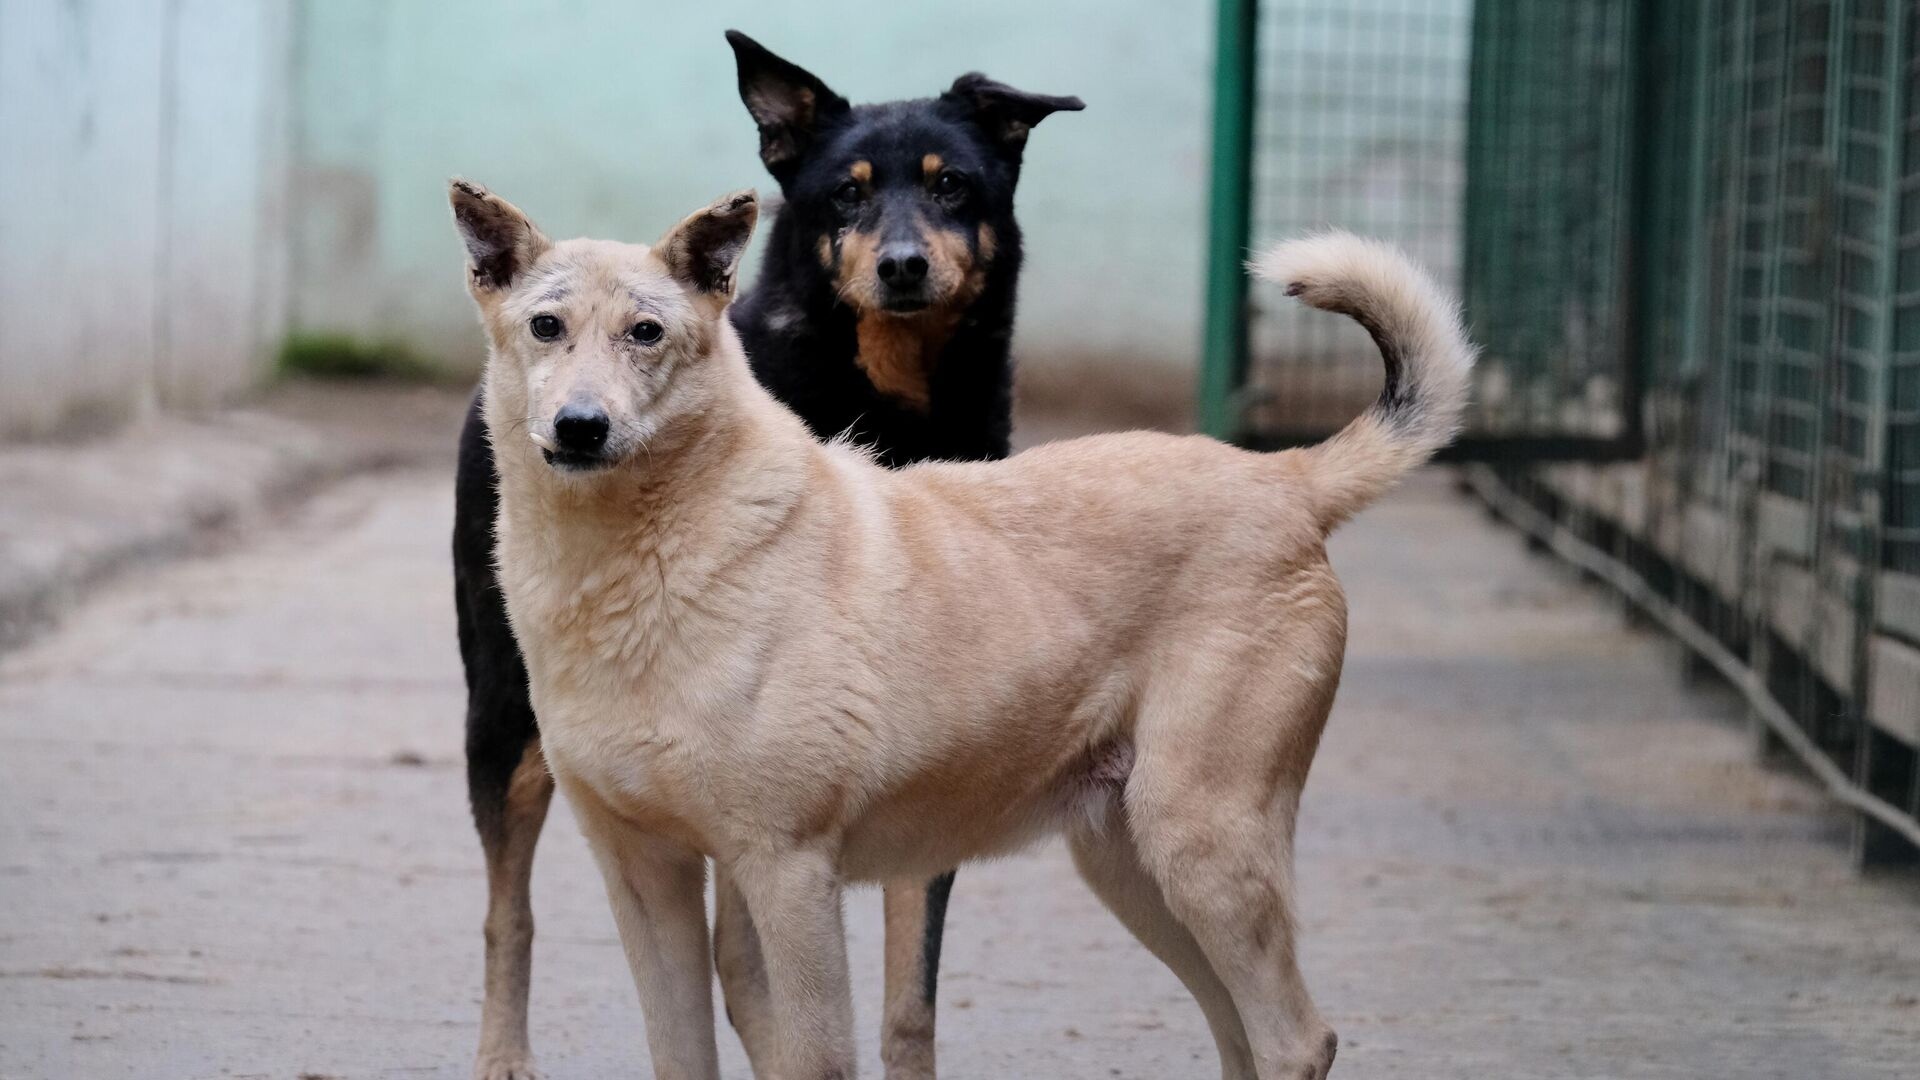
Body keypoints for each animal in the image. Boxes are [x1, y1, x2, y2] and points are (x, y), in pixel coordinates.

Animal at [449, 178, 1466, 1076]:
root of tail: (1284, 477)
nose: (581, 427)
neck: (644, 561)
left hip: (1202, 844)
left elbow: (817, 1059)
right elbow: (679, 1055)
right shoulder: (645, 875)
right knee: (1241, 1038)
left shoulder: (789, 873)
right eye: (546, 327)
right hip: (1133, 867)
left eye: (647, 333)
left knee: (1297, 1041)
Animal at [453, 29, 1082, 1068]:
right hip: (503, 722)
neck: (887, 400)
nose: (903, 265)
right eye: (846, 195)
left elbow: (907, 995)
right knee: (510, 913)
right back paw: (504, 1055)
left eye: (954, 186)